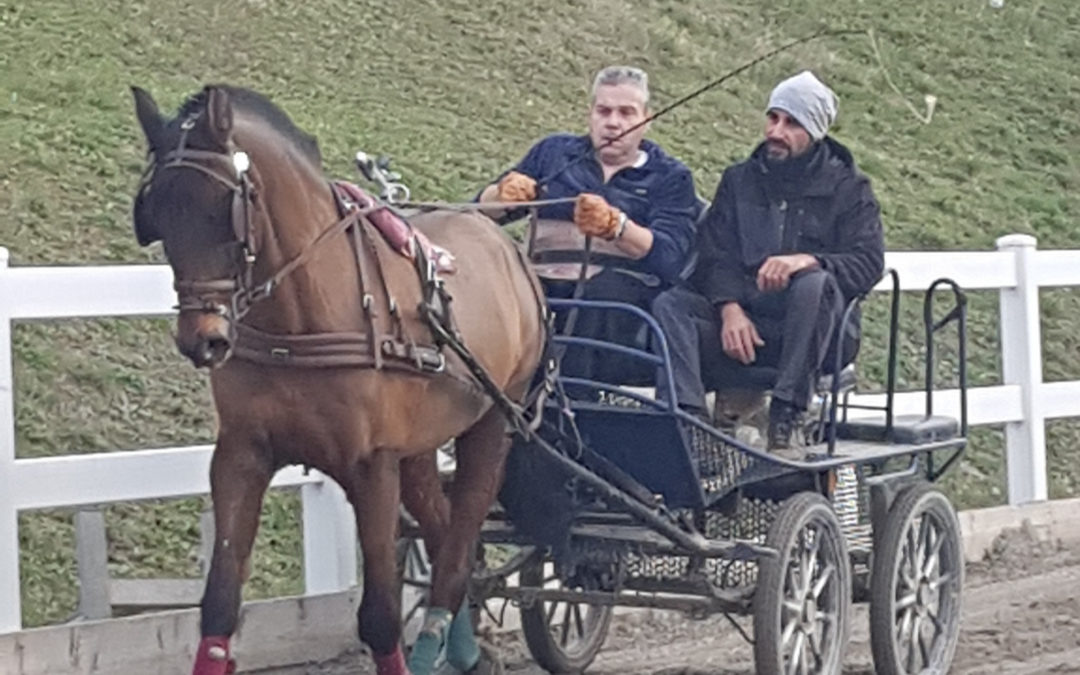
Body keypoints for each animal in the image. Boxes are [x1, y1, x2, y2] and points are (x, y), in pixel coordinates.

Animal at [129, 85, 544, 673]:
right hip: (420, 447)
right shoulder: (241, 456)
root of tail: (505, 245)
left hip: (492, 423)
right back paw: (460, 648)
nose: (201, 339)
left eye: (222, 211)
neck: (301, 317)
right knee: (444, 537)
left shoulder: (371, 467)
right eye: (158, 214)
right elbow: (219, 604)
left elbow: (380, 616)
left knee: (458, 547)